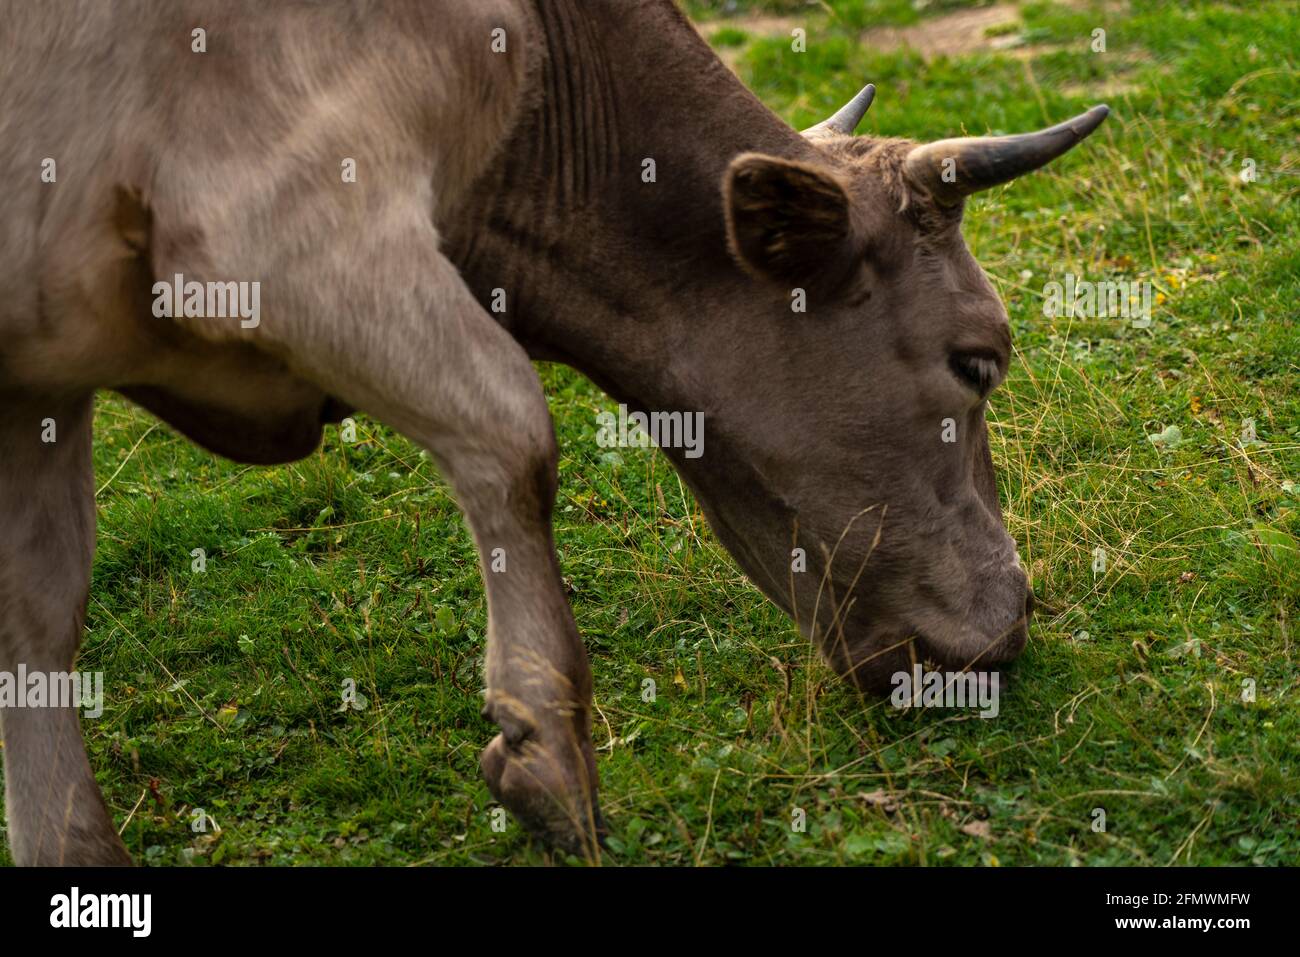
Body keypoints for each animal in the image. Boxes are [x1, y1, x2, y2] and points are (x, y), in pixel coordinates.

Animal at [0, 0, 1107, 864]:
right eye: (979, 358)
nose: (1013, 618)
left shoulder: (39, 373)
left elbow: (42, 605)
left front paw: (70, 845)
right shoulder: (268, 230)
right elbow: (513, 431)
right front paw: (546, 756)